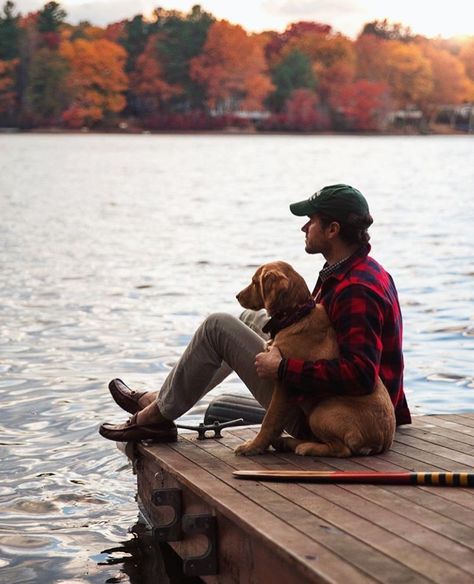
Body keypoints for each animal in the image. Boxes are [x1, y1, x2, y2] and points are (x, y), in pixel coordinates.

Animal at [234, 260, 396, 456]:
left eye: (254, 282)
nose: (237, 296)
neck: (295, 316)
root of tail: (381, 441)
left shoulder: (283, 383)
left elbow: (270, 419)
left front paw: (253, 447)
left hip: (321, 412)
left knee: (341, 449)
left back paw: (304, 447)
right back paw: (288, 442)